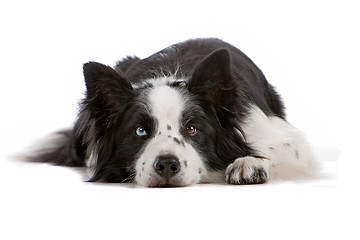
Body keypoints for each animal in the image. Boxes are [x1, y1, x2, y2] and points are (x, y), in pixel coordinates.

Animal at [28, 38, 316, 188]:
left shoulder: (275, 131)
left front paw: (249, 163)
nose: (166, 164)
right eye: (140, 131)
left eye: (191, 128)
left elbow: (282, 148)